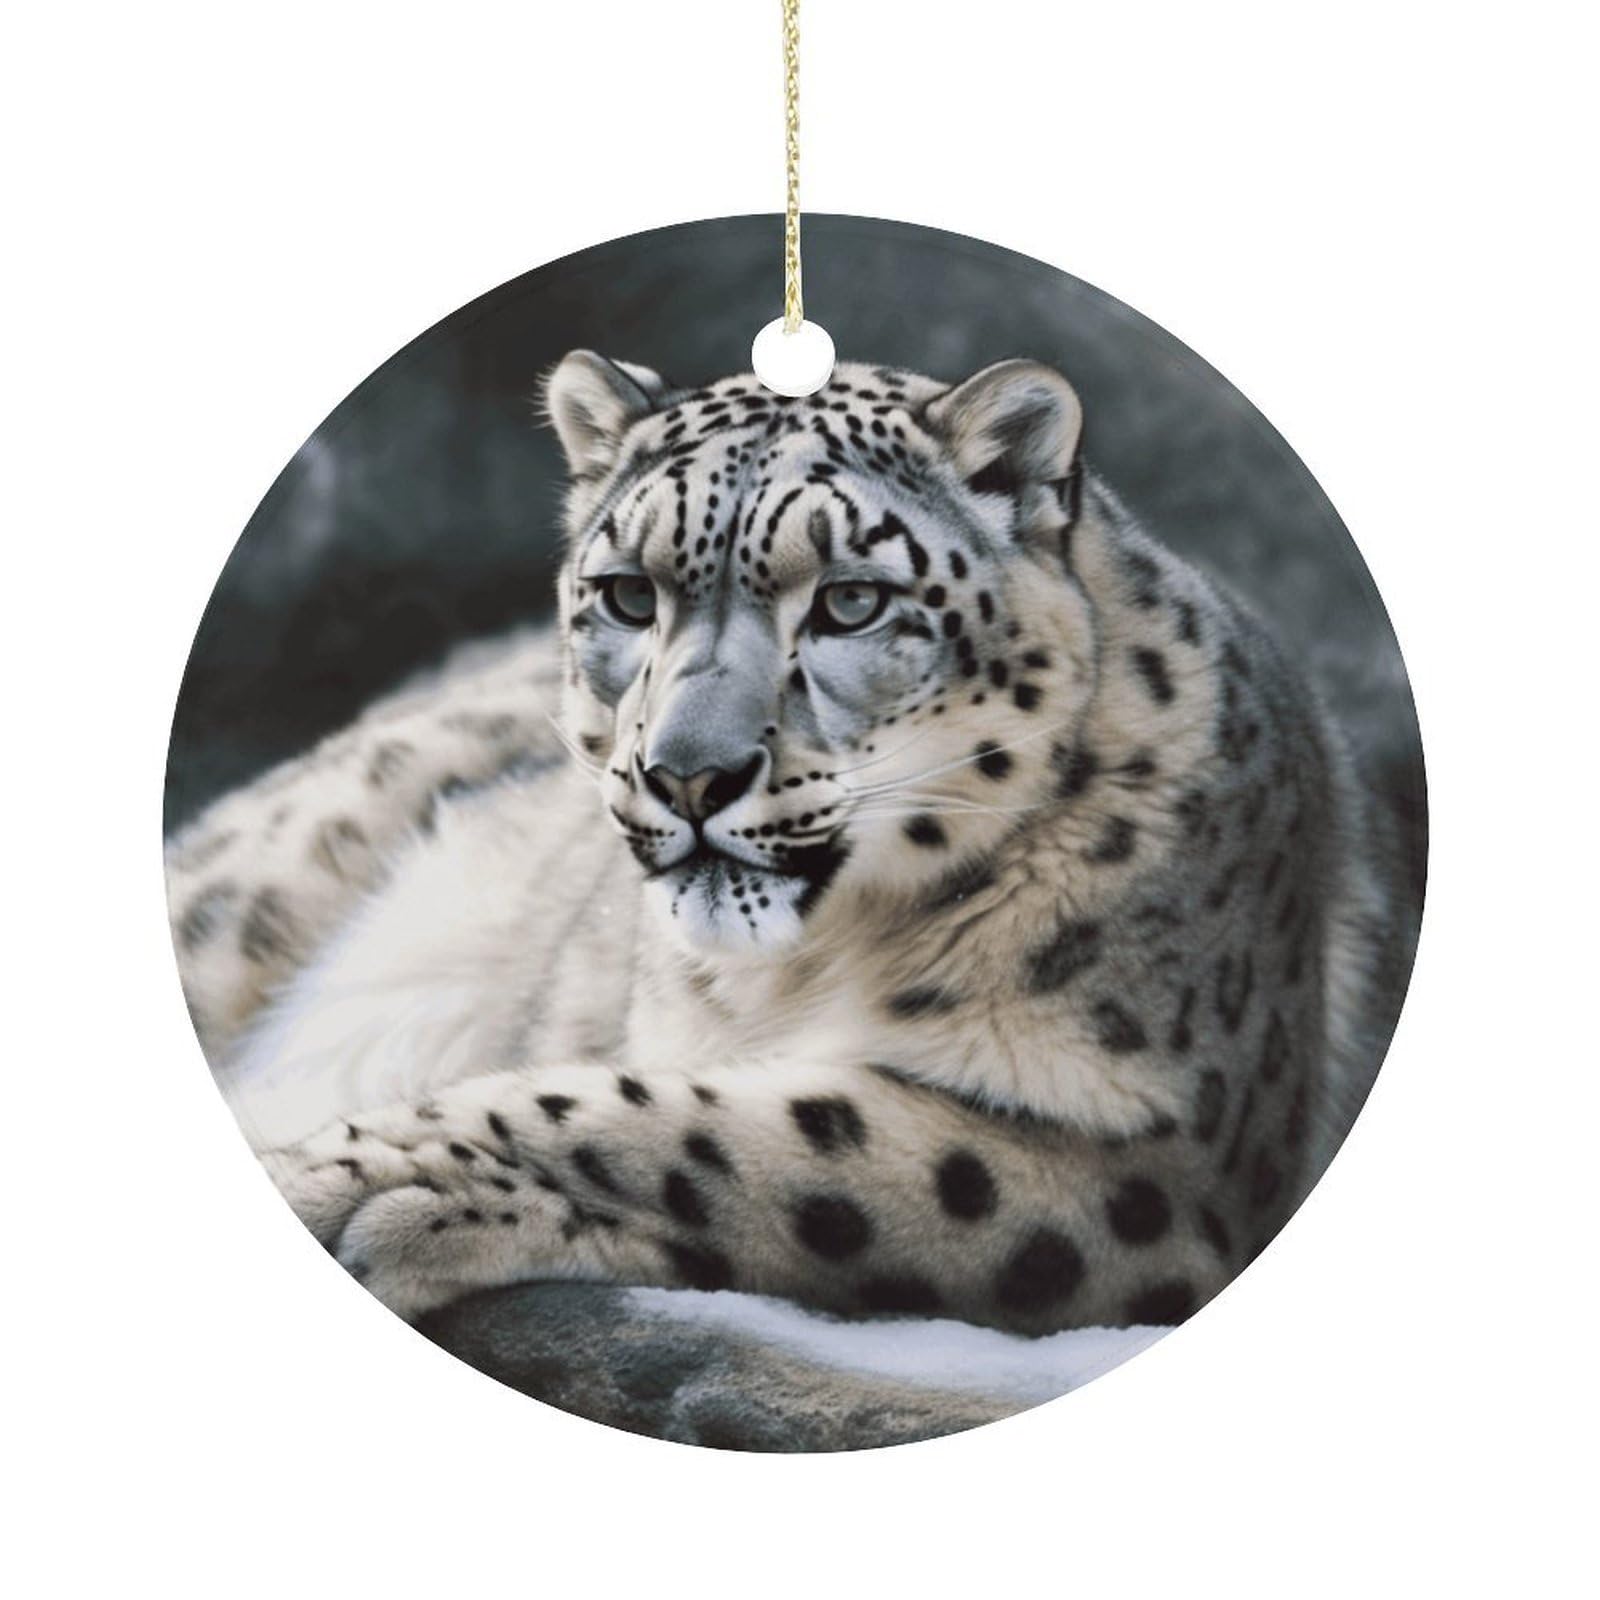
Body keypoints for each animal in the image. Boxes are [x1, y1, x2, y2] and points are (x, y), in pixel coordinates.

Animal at [166, 350, 1412, 1335]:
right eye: (627, 594)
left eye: (851, 601)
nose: (688, 774)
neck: (803, 971)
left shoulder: (1163, 1164)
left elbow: (726, 1133)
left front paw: (344, 1183)